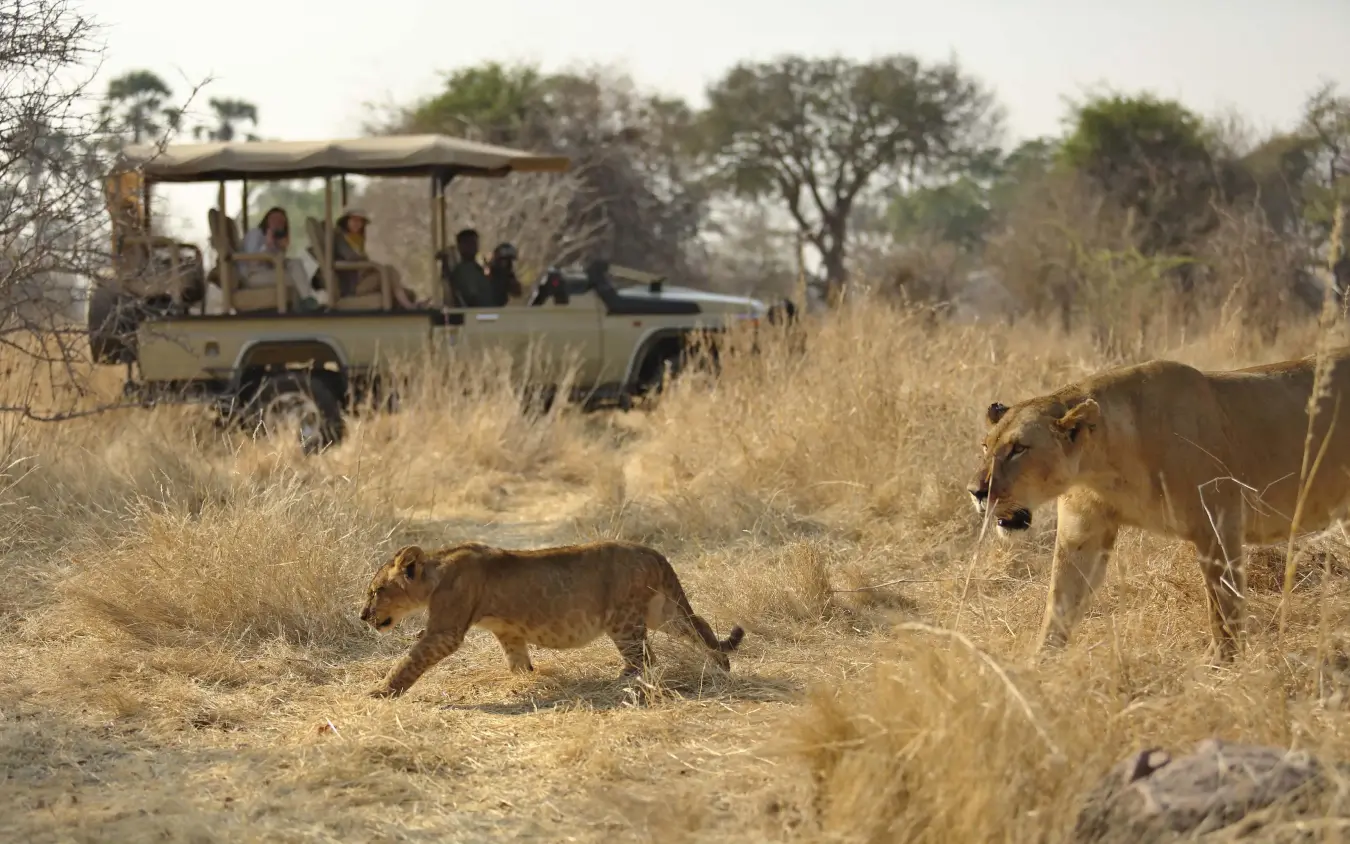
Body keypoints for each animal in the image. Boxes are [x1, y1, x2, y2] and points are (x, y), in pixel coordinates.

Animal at [359, 540, 746, 697]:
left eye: (375, 591)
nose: (363, 616)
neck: (436, 572)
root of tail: (654, 552)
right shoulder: (509, 632)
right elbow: (518, 662)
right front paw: (525, 682)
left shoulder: (445, 631)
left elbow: (410, 660)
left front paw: (380, 692)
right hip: (661, 611)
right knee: (699, 625)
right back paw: (721, 665)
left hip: (623, 619)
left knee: (645, 657)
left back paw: (621, 682)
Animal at [966, 346, 1350, 663]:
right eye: (986, 446)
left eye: (1019, 449)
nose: (975, 491)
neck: (1102, 465)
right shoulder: (1083, 531)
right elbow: (1060, 602)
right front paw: (1037, 668)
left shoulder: (1219, 524)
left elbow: (1222, 606)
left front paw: (1222, 665)